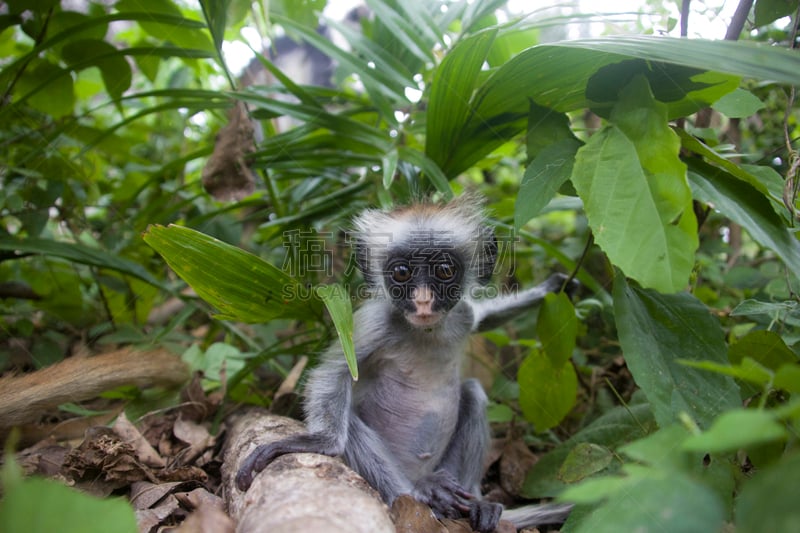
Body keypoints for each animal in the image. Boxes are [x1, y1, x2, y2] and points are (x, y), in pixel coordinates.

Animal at [238, 196, 576, 532]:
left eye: (444, 270)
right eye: (402, 272)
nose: (423, 299)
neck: (426, 331)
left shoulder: (462, 315)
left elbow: (484, 317)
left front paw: (549, 288)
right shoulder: (377, 321)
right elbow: (333, 373)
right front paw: (315, 441)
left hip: (449, 469)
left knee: (473, 392)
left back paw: (476, 505)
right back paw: (422, 495)